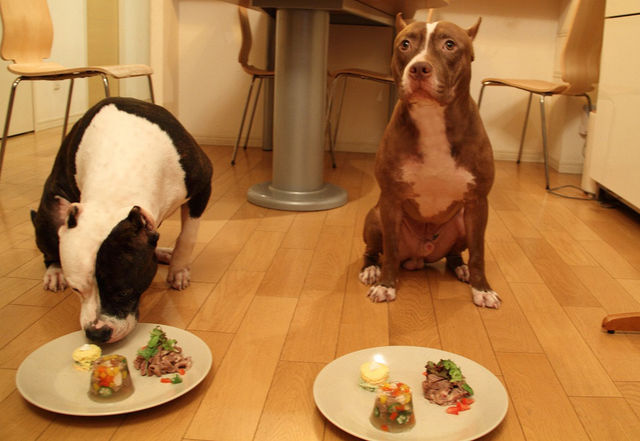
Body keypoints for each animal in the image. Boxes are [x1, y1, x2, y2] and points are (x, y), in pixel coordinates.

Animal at [31, 97, 213, 343]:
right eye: (76, 289)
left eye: (124, 291)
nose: (96, 333)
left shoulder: (202, 187)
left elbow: (188, 235)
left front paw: (178, 270)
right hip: (50, 210)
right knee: (50, 249)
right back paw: (54, 272)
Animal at [358, 14, 500, 308]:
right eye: (405, 44)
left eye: (450, 44)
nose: (419, 68)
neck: (431, 118)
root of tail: (419, 256)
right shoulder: (391, 200)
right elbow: (390, 251)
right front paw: (386, 285)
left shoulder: (478, 203)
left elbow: (479, 253)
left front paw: (482, 289)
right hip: (376, 216)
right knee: (374, 250)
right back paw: (371, 270)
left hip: (462, 222)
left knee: (456, 254)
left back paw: (462, 269)